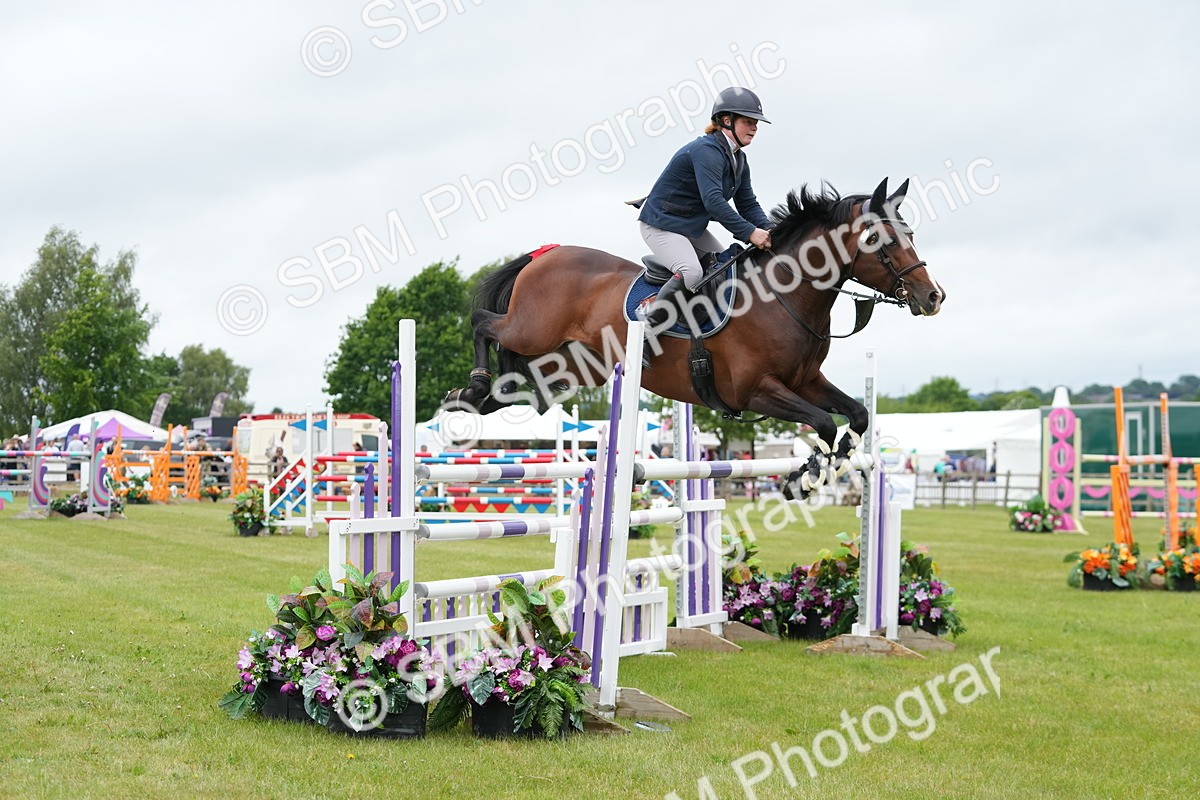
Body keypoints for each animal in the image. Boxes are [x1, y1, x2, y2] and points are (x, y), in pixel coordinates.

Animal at [445, 178, 945, 496]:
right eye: (882, 239)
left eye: (911, 233)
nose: (933, 296)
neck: (785, 296)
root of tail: (545, 253)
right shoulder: (755, 391)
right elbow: (822, 423)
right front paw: (804, 476)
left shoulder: (805, 382)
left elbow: (857, 414)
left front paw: (831, 463)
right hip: (531, 329)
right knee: (483, 322)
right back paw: (470, 387)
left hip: (571, 364)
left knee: (518, 380)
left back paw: (479, 397)